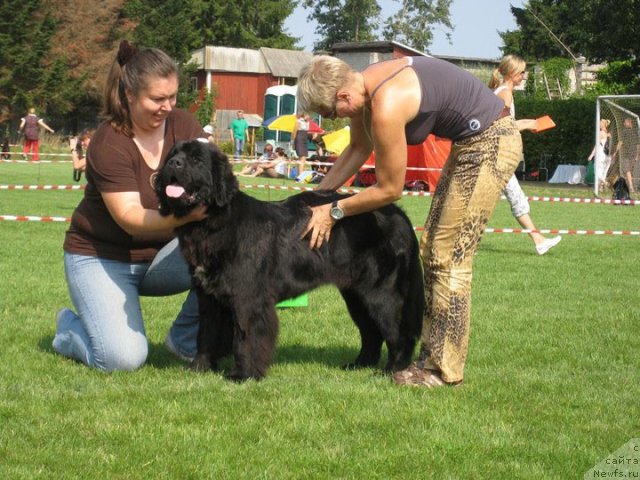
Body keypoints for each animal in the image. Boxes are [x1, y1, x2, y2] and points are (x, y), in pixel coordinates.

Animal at [156, 140, 424, 382]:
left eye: (197, 160)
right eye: (172, 154)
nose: (173, 163)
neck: (212, 224)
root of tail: (399, 215)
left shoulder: (249, 297)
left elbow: (247, 336)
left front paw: (244, 375)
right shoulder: (208, 296)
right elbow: (206, 333)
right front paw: (199, 368)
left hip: (382, 292)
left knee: (399, 332)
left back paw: (392, 372)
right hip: (356, 295)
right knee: (371, 332)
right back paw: (359, 365)